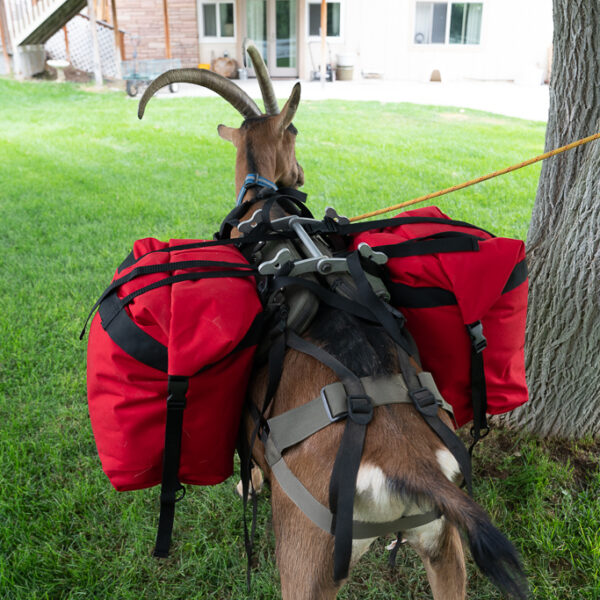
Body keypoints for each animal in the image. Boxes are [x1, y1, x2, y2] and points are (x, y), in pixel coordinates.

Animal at [137, 48, 528, 600]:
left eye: (294, 127)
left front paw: (246, 486)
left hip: (308, 559)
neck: (265, 207)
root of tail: (410, 465)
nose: (298, 174)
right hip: (445, 548)